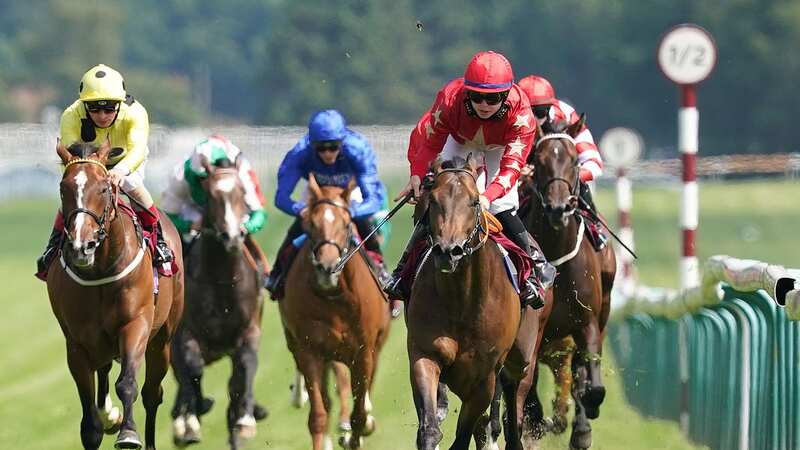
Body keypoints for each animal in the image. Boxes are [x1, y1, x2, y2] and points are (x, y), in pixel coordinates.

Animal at [47, 142, 184, 450]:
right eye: (63, 188)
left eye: (103, 188)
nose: (81, 246)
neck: (100, 271)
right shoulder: (76, 341)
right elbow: (89, 416)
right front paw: (105, 420)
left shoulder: (135, 325)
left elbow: (128, 383)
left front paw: (129, 433)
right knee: (104, 369)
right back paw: (109, 414)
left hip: (163, 338)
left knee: (152, 393)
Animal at [170, 160, 268, 448]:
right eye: (210, 196)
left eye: (241, 192)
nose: (231, 237)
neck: (221, 279)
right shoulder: (185, 333)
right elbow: (192, 367)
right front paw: (189, 422)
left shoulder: (248, 331)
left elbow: (244, 368)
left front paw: (245, 419)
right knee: (184, 377)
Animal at [278, 175, 390, 450]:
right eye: (309, 224)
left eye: (346, 224)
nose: (327, 267)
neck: (335, 298)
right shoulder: (309, 350)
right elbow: (318, 415)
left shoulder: (364, 352)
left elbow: (360, 413)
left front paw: (356, 431)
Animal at [410, 156, 548, 450]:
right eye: (433, 200)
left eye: (474, 201)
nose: (448, 251)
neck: (460, 300)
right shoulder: (424, 354)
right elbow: (429, 429)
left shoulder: (484, 377)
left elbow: (463, 436)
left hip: (522, 353)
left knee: (512, 388)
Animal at [520, 119, 620, 450]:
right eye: (538, 161)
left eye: (575, 160)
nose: (558, 208)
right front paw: (538, 423)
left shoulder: (586, 323)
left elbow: (590, 383)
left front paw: (583, 425)